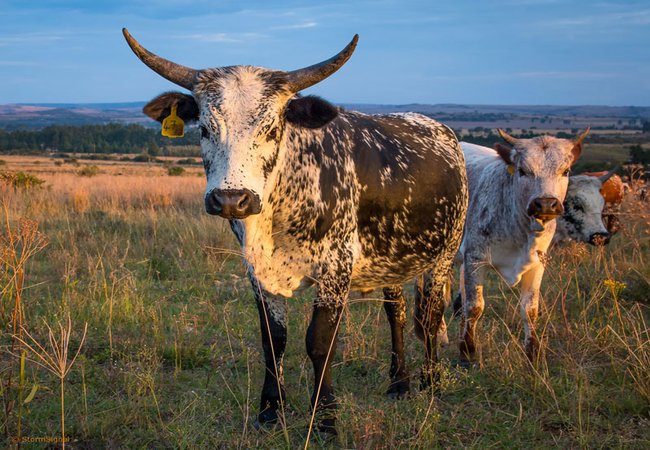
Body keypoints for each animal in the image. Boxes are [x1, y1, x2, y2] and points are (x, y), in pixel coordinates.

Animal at [121, 29, 466, 438]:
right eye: (204, 129)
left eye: (272, 129)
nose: (231, 199)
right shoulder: (256, 271)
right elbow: (274, 339)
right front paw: (271, 410)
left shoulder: (336, 269)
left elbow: (320, 342)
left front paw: (327, 419)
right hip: (391, 257)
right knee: (394, 311)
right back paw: (399, 382)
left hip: (445, 251)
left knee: (430, 313)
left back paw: (431, 380)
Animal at [456, 131, 588, 366]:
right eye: (522, 171)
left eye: (565, 171)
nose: (545, 204)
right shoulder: (476, 258)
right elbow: (474, 305)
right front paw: (467, 352)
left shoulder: (537, 264)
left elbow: (530, 309)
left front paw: (533, 352)